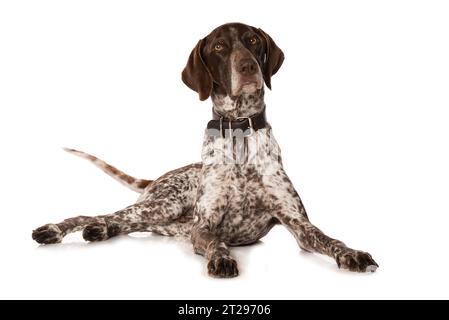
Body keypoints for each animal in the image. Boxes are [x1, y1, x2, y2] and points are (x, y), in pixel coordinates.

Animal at [31, 22, 376, 278]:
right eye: (219, 47)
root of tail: (161, 176)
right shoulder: (204, 226)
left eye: (253, 41)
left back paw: (101, 231)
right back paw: (57, 229)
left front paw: (352, 253)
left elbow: (328, 239)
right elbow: (216, 242)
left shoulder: (298, 224)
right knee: (97, 214)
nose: (248, 67)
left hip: (163, 219)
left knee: (122, 222)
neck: (239, 130)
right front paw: (222, 259)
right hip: (163, 205)